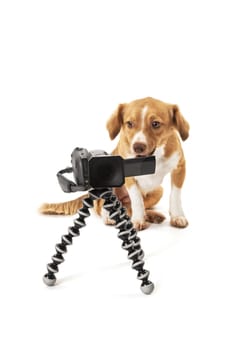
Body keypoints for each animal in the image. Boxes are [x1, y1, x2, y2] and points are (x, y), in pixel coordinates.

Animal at [40, 97, 189, 231]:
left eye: (156, 124)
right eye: (129, 123)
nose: (138, 147)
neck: (155, 157)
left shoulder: (179, 167)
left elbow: (175, 195)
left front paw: (177, 216)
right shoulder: (129, 177)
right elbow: (137, 200)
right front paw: (138, 220)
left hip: (158, 191)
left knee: (128, 207)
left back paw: (151, 215)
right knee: (102, 206)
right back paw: (110, 216)